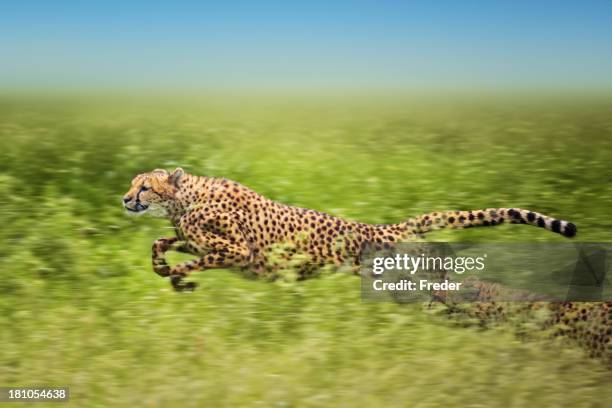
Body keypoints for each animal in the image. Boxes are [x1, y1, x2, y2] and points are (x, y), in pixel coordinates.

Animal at [123, 167, 580, 292]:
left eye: (143, 186)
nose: (126, 199)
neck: (186, 198)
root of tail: (385, 228)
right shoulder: (193, 238)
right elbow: (160, 242)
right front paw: (164, 268)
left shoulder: (237, 252)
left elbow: (190, 260)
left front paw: (178, 278)